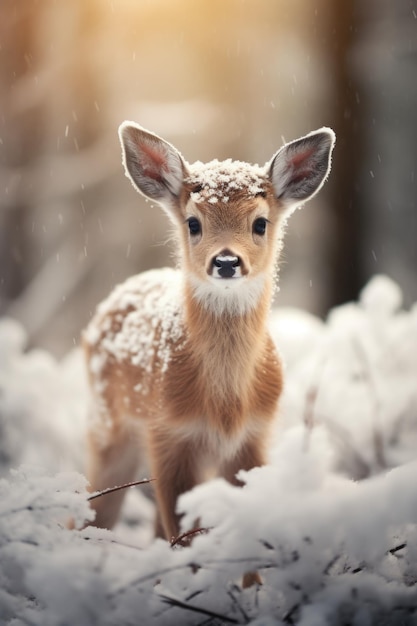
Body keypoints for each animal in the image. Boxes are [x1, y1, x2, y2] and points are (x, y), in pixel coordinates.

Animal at [83, 119, 334, 568]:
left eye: (260, 223)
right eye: (193, 223)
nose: (227, 261)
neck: (224, 406)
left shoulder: (254, 438)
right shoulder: (168, 434)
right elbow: (182, 536)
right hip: (108, 430)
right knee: (94, 516)